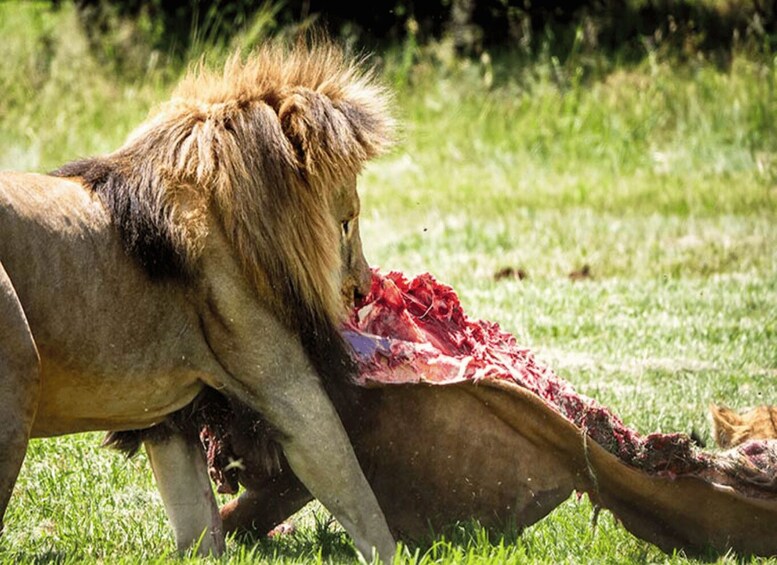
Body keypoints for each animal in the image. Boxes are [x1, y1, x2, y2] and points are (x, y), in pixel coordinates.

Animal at [0, 40, 396, 561]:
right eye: (346, 222)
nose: (363, 288)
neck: (235, 221)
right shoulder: (289, 390)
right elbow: (355, 492)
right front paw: (401, 554)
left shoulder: (171, 418)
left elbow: (197, 524)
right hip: (18, 365)